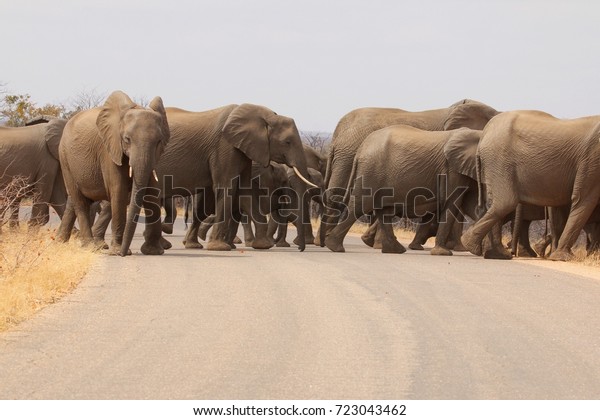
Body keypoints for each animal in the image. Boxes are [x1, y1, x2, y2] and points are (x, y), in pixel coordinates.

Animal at [56, 92, 170, 256]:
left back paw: (60, 242)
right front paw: (117, 251)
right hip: (65, 159)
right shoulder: (108, 149)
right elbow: (118, 190)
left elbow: (152, 191)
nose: (124, 253)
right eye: (127, 139)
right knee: (80, 202)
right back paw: (90, 247)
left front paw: (153, 251)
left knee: (74, 200)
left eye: (159, 142)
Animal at [152, 103, 316, 251]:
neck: (264, 116)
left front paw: (263, 246)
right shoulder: (224, 147)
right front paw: (219, 248)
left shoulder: (244, 150)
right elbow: (227, 188)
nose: (300, 249)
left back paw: (189, 245)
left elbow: (244, 191)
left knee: (200, 209)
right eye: (287, 142)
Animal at [462, 110, 600, 260]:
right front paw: (563, 258)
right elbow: (584, 199)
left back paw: (494, 253)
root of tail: (485, 133)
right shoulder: (592, 159)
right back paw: (473, 246)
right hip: (499, 160)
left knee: (496, 203)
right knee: (505, 203)